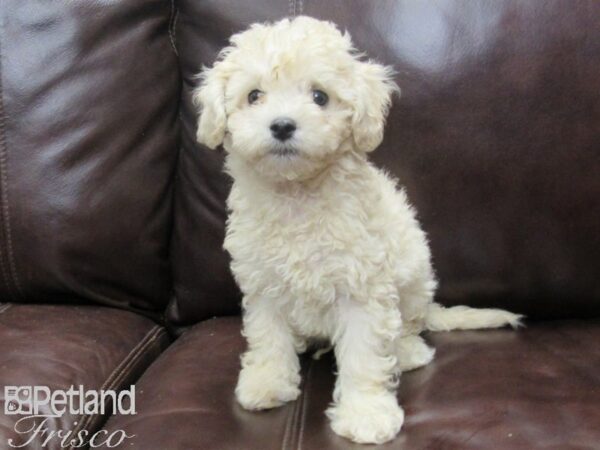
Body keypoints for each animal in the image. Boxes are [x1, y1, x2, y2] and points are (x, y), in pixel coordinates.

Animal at [195, 15, 524, 444]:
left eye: (320, 97)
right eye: (254, 96)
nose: (282, 125)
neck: (297, 195)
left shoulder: (363, 290)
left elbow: (365, 356)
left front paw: (366, 414)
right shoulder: (263, 284)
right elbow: (268, 336)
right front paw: (267, 382)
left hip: (414, 275)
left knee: (409, 326)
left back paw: (408, 352)